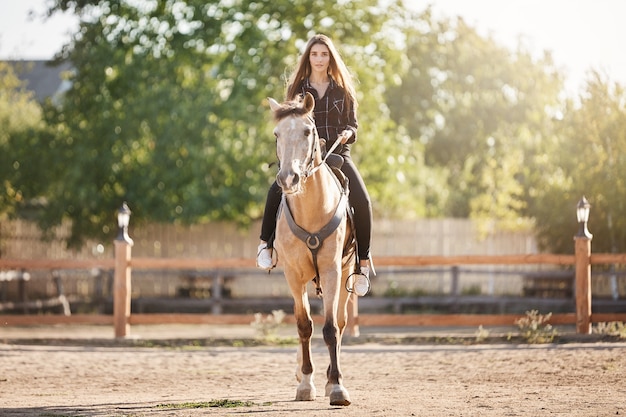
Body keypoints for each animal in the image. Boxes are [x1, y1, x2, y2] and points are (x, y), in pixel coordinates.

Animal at [266, 92, 356, 406]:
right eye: (277, 134)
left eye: (307, 131)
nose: (287, 178)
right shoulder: (293, 275)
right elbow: (304, 325)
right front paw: (305, 382)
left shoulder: (331, 271)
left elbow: (331, 328)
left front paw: (337, 387)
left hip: (346, 272)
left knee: (340, 323)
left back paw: (330, 378)